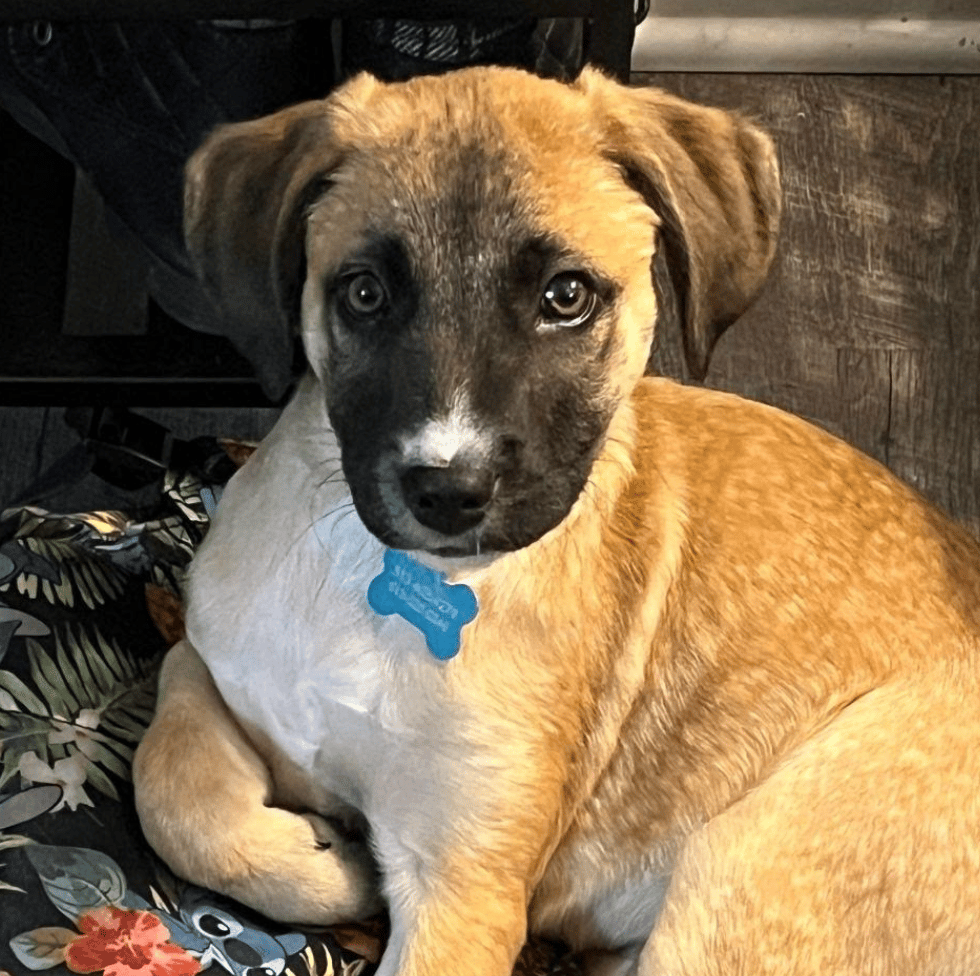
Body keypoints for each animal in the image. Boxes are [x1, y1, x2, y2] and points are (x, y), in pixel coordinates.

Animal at [133, 66, 980, 975]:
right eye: (364, 292)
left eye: (566, 296)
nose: (448, 491)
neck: (382, 582)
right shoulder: (203, 662)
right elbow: (172, 788)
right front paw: (321, 864)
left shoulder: (463, 890)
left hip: (751, 866)